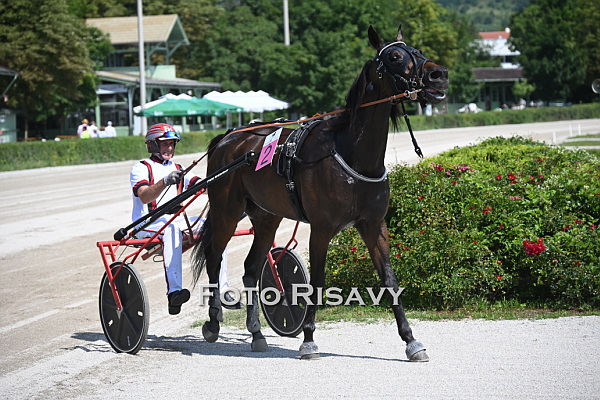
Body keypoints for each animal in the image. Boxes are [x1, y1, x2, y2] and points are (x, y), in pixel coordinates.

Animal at [191, 25, 448, 361]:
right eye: (394, 56)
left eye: (417, 51)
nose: (439, 75)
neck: (351, 155)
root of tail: (227, 138)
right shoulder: (322, 228)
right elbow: (315, 283)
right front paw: (308, 339)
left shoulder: (373, 225)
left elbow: (390, 280)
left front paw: (411, 341)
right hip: (226, 211)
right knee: (214, 257)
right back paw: (212, 323)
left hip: (266, 217)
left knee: (251, 268)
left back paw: (257, 333)